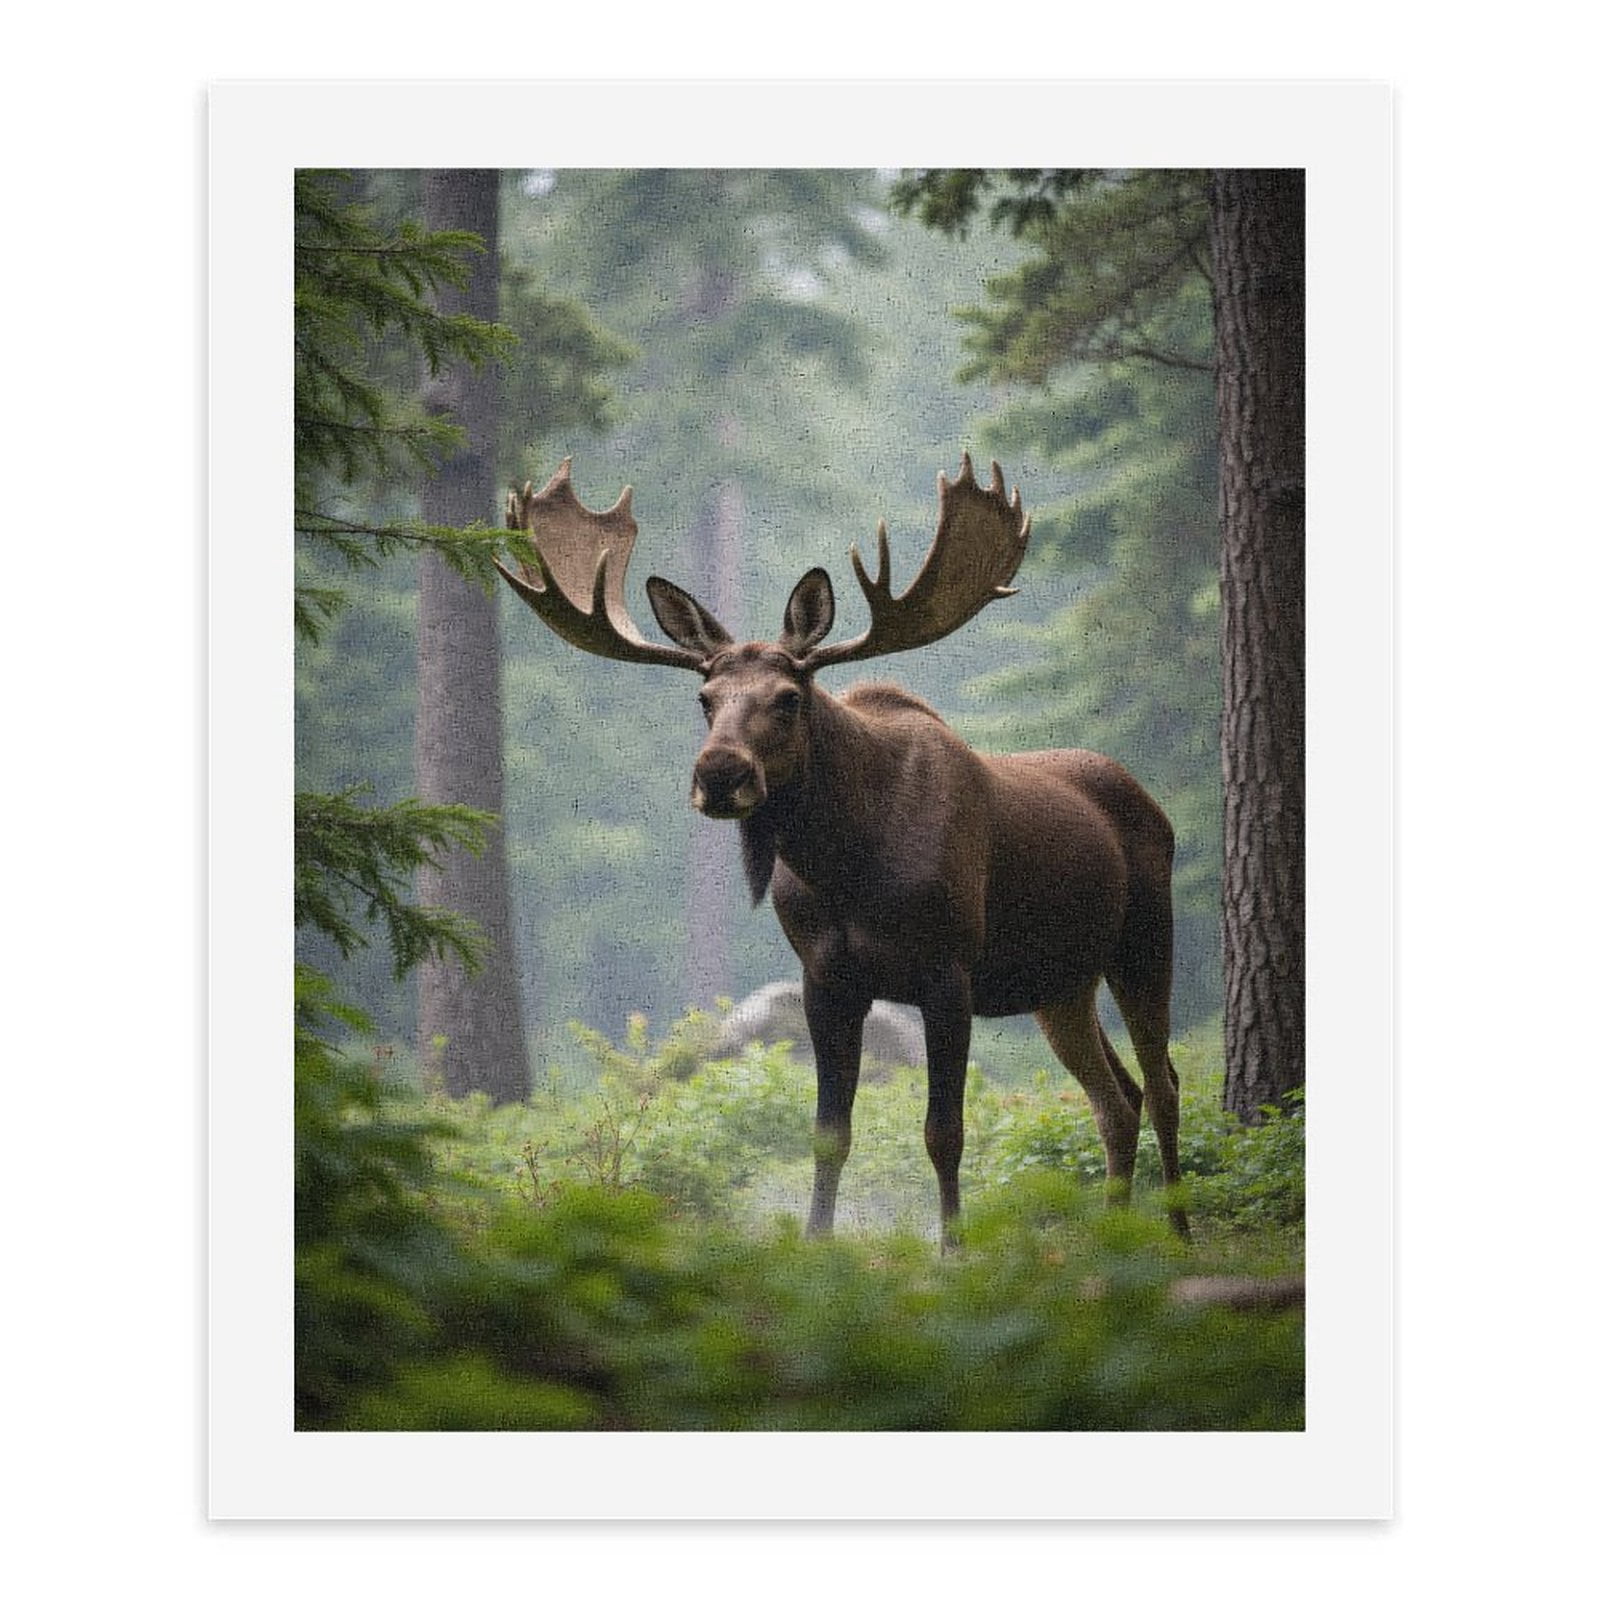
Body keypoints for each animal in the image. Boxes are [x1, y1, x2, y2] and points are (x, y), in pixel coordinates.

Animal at [499, 454, 1188, 1249]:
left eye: (788, 697)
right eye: (705, 699)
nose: (720, 774)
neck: (850, 868)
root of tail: (1152, 804)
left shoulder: (949, 971)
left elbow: (944, 1131)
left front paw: (953, 1249)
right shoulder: (826, 978)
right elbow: (830, 1131)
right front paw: (815, 1243)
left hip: (1144, 941)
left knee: (1162, 1083)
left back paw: (1179, 1231)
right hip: (1060, 983)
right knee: (1117, 1098)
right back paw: (1116, 1233)